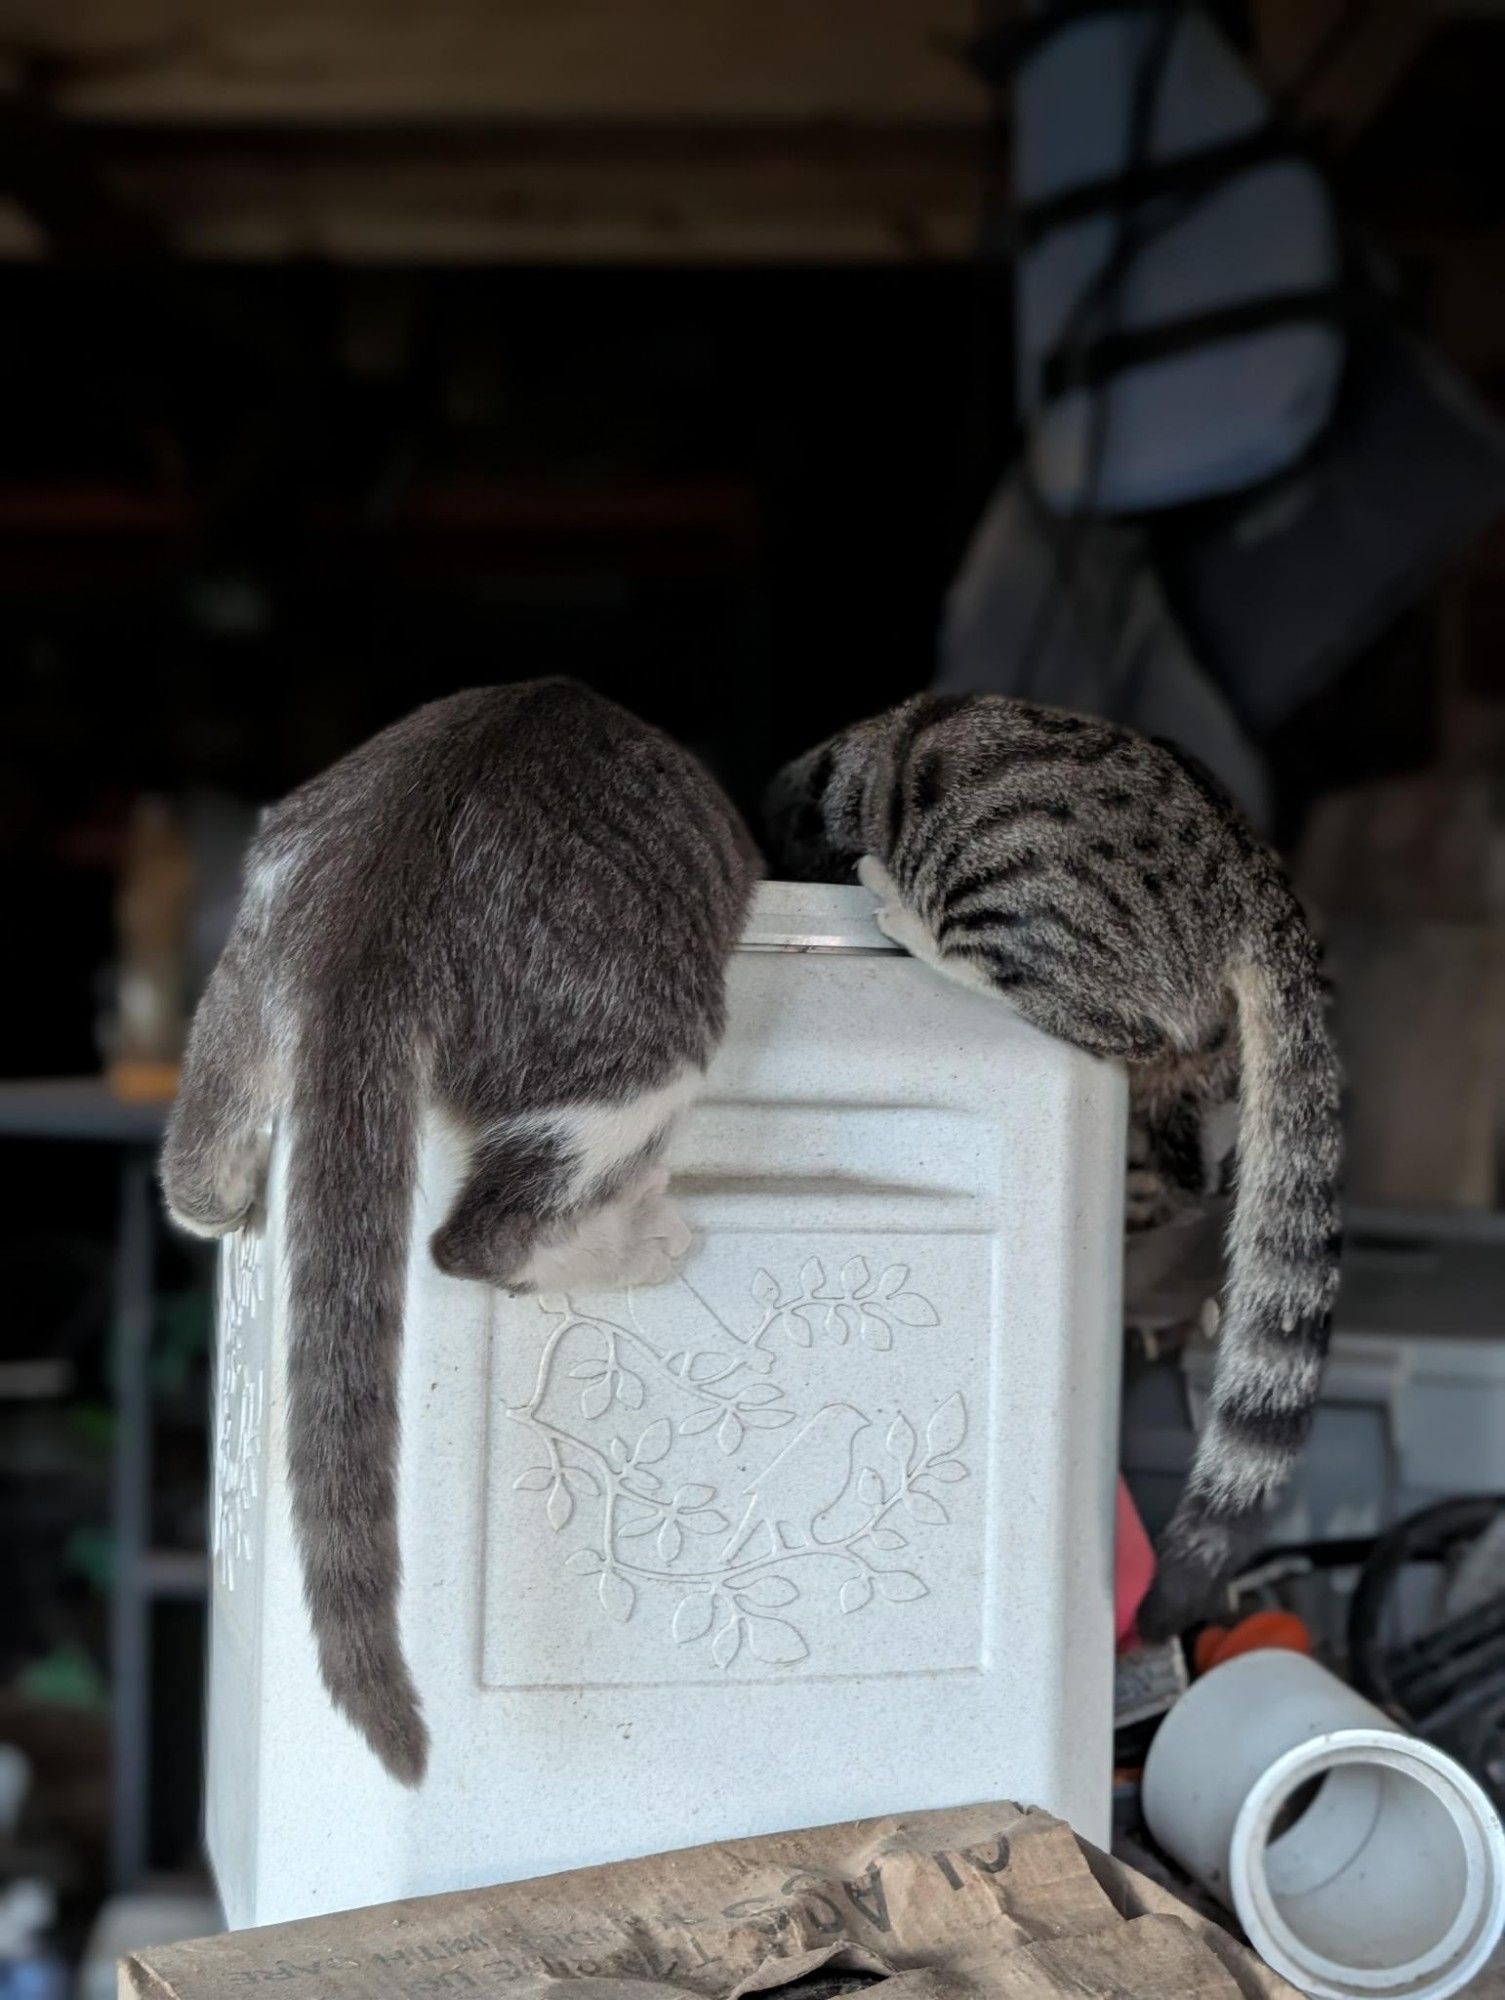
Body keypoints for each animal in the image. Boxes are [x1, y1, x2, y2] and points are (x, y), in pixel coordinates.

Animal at [159, 680, 756, 1776]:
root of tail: (381, 910)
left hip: (242, 982)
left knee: (195, 1177)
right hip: (641, 1050)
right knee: (478, 1235)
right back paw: (635, 1237)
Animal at [764, 696, 1336, 1632]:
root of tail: (1250, 873)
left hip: (1008, 887)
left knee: (1099, 1018)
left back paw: (905, 916)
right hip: (1192, 1084)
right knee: (1182, 1169)